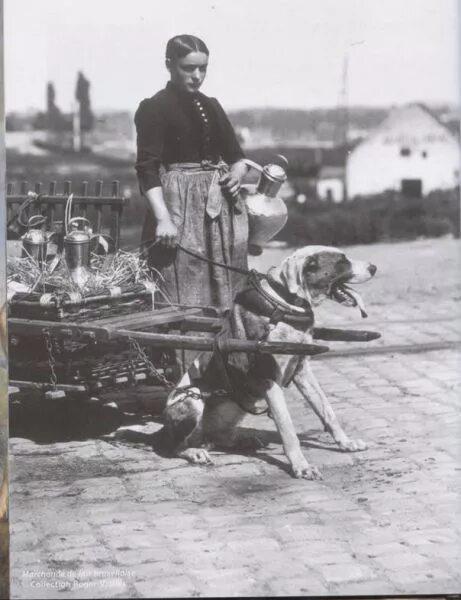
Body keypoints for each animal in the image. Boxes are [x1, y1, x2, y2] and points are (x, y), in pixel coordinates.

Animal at [163, 246, 377, 479]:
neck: (286, 304)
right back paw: (194, 452)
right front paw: (301, 466)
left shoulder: (302, 370)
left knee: (218, 436)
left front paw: (345, 443)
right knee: (175, 446)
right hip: (192, 398)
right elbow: (287, 428)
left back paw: (240, 441)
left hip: (236, 408)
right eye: (342, 262)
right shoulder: (269, 380)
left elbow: (326, 410)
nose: (374, 267)